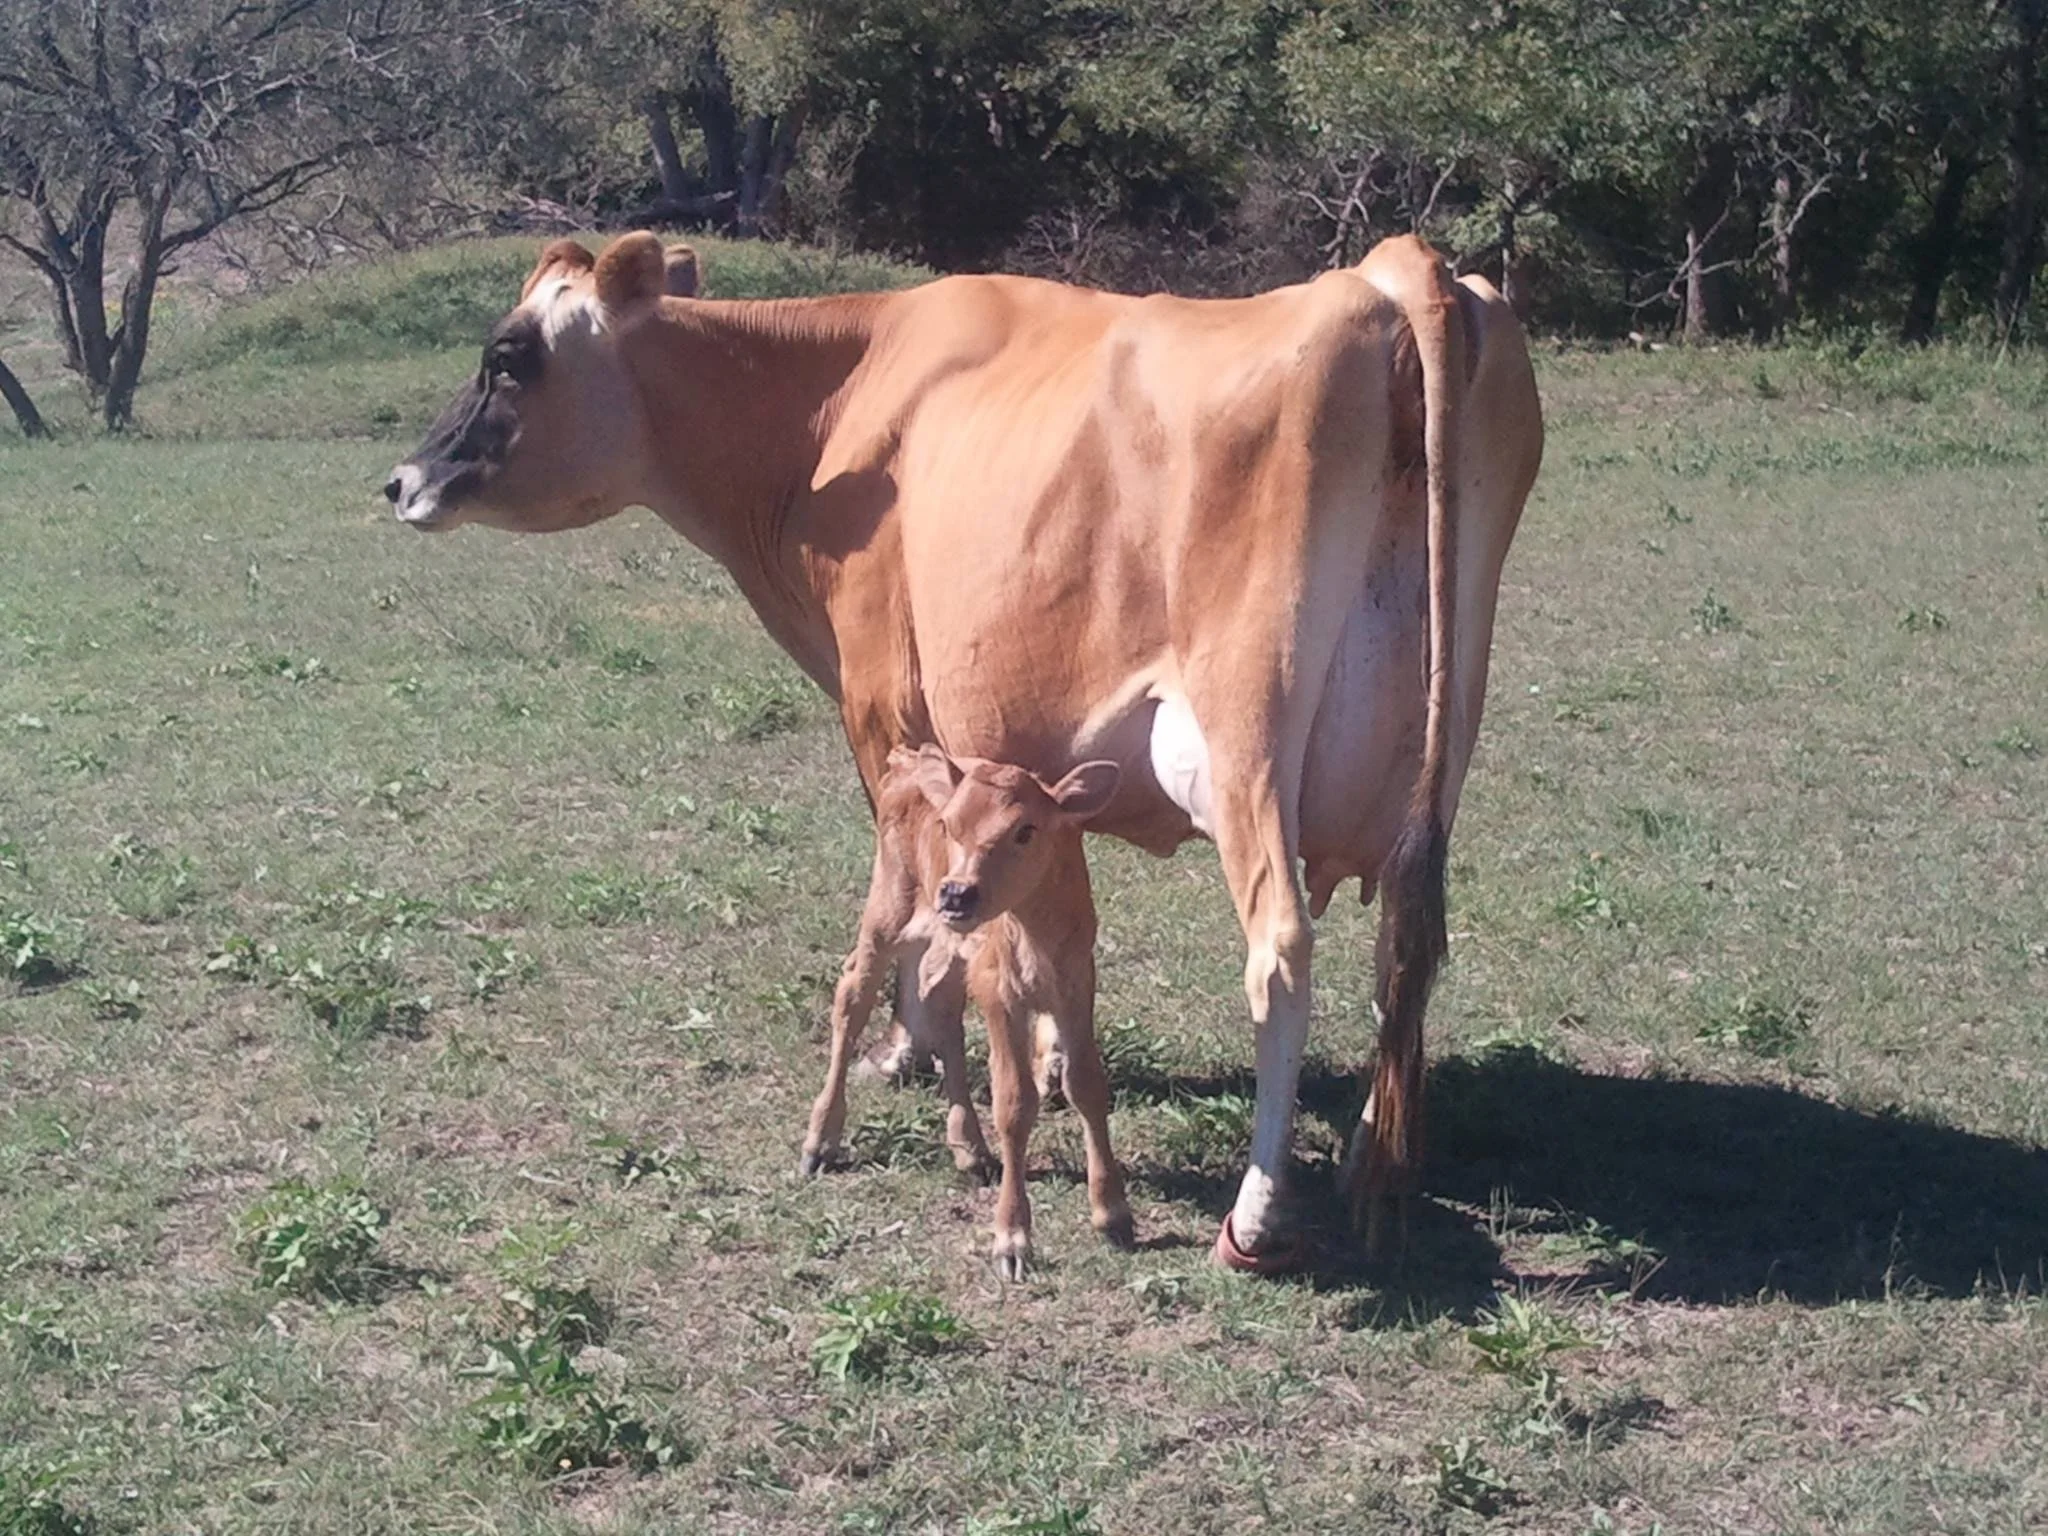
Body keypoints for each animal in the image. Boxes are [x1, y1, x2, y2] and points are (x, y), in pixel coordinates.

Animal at [802, 743, 1129, 1278]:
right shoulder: (1000, 991)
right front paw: (1012, 1239)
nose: (956, 892)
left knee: (941, 1012)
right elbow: (1014, 1103)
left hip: (947, 944)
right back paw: (819, 1142)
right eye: (949, 826)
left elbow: (1086, 1085)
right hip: (886, 911)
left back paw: (969, 1148)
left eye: (1025, 830)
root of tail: (906, 760)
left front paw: (1113, 1213)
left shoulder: (1077, 986)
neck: (1035, 933)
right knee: (853, 995)